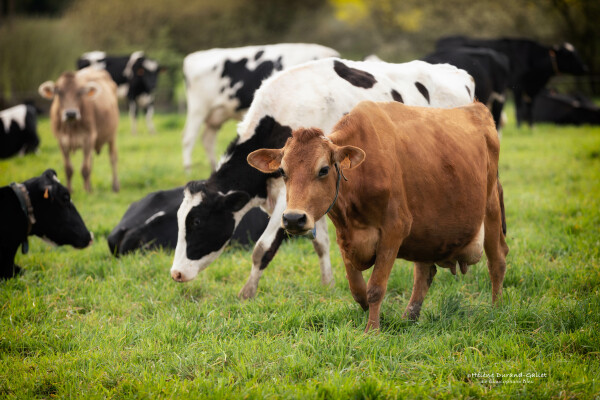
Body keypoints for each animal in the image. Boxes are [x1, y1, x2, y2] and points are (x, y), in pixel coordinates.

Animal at [169, 57, 474, 298]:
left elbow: (262, 248)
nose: (176, 273)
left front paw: (247, 293)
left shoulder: (288, 200)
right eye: (180, 220)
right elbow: (320, 243)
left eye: (197, 222)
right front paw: (328, 284)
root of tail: (459, 73)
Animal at [180, 43, 340, 171]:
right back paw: (188, 171)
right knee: (189, 138)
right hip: (198, 109)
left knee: (207, 139)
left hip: (215, 116)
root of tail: (193, 57)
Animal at [246, 100, 508, 332]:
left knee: (497, 261)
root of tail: (477, 108)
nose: (293, 218)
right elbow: (357, 289)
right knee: (424, 272)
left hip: (491, 208)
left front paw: (372, 330)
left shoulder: (394, 230)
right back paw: (409, 316)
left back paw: (496, 311)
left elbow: (376, 288)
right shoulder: (345, 236)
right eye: (283, 171)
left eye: (323, 169)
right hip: (427, 232)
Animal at [434, 37, 588, 126]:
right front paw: (519, 127)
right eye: (569, 54)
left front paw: (531, 128)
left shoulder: (530, 89)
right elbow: (519, 108)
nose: (585, 68)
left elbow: (530, 107)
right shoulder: (518, 85)